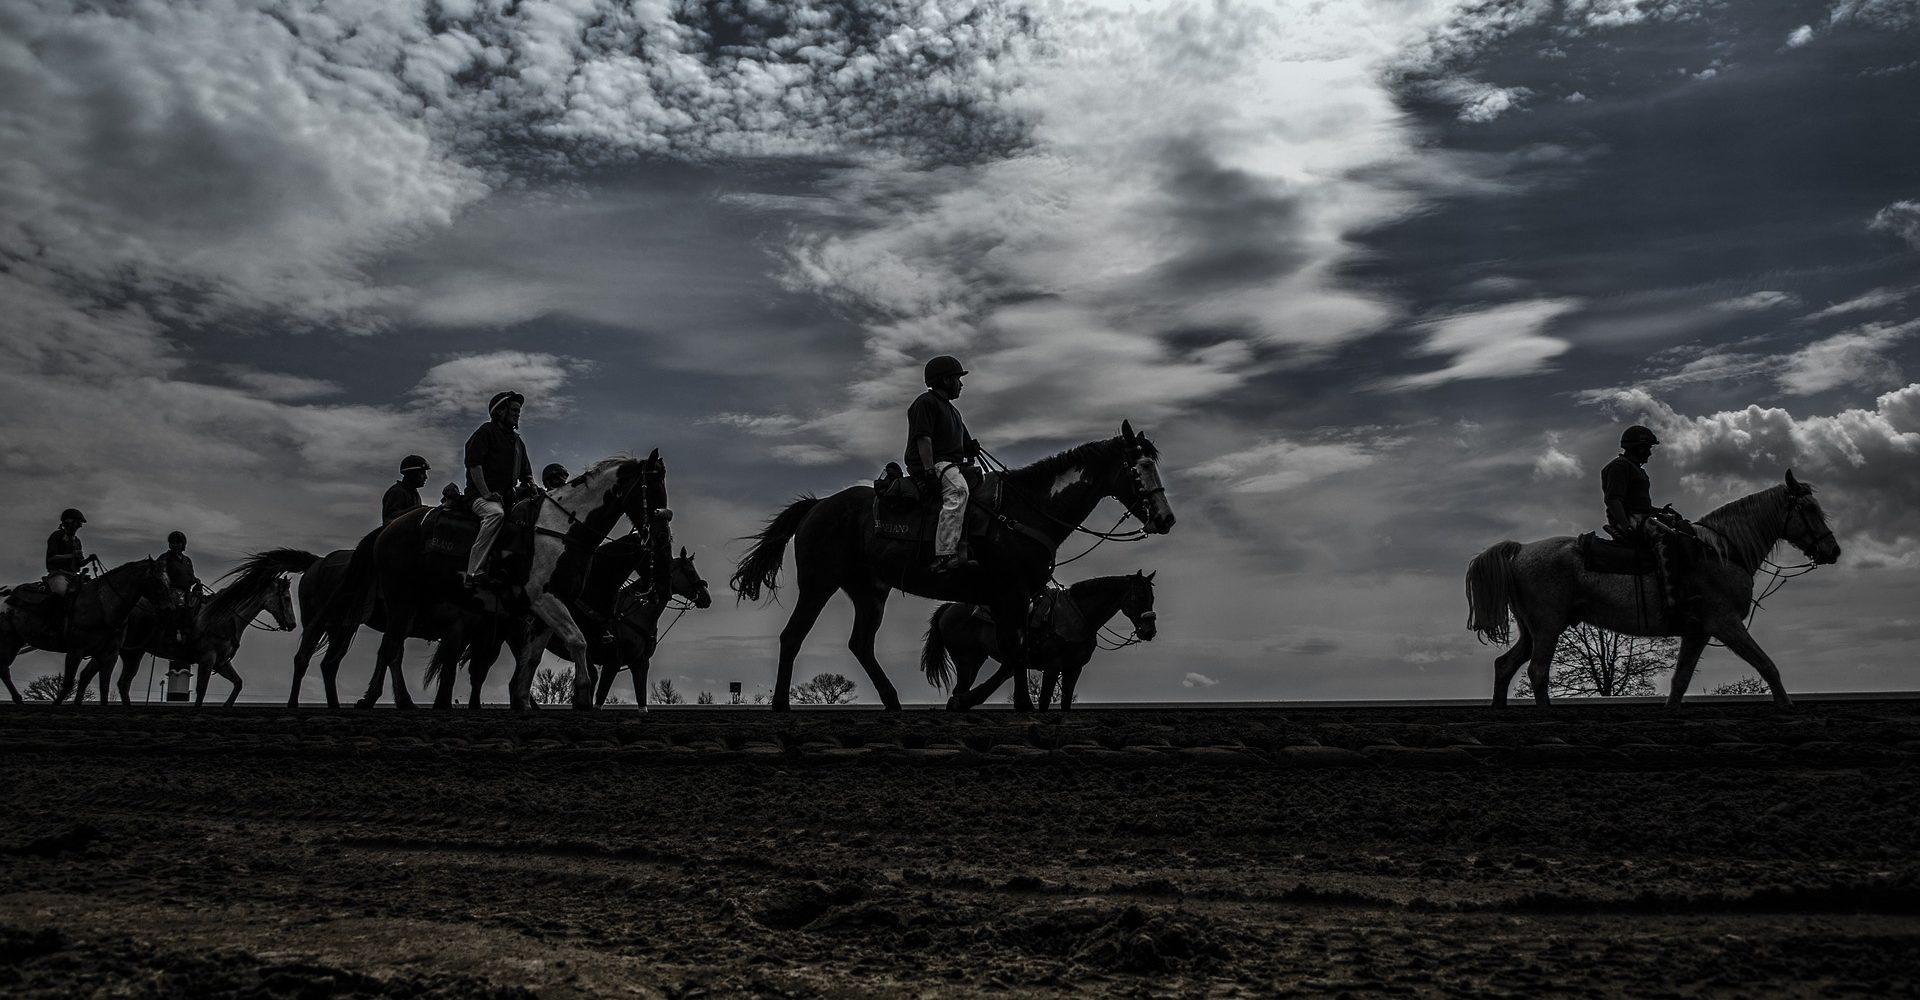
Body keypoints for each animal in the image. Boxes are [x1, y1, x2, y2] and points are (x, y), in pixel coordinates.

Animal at [0, 556, 170, 706]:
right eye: (157, 580)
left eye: (168, 580)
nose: (168, 608)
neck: (103, 605)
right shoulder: (75, 651)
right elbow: (68, 683)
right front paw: (56, 705)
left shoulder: (109, 654)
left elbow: (104, 687)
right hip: (7, 639)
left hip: (15, 640)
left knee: (4, 669)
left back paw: (19, 700)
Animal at [311, 452, 672, 710]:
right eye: (653, 488)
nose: (662, 530)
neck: (562, 529)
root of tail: (389, 528)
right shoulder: (544, 599)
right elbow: (577, 640)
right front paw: (581, 696)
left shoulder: (547, 606)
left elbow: (533, 656)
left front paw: (522, 700)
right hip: (400, 598)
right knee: (389, 649)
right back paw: (373, 700)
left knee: (393, 649)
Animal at [921, 568, 1159, 710]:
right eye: (1139, 596)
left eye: (1152, 597)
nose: (1149, 631)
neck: (1079, 614)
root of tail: (949, 607)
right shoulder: (1053, 667)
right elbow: (1044, 702)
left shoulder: (1074, 668)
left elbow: (1065, 704)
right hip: (966, 659)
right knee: (960, 691)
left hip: (978, 659)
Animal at [1466, 472, 1843, 706]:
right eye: (1808, 508)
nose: (1833, 550)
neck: (1723, 551)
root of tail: (1520, 550)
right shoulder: (1726, 624)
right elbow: (1767, 666)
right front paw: (1788, 706)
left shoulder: (1698, 632)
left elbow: (1680, 681)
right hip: (1547, 626)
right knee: (1537, 671)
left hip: (1533, 630)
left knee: (1505, 665)